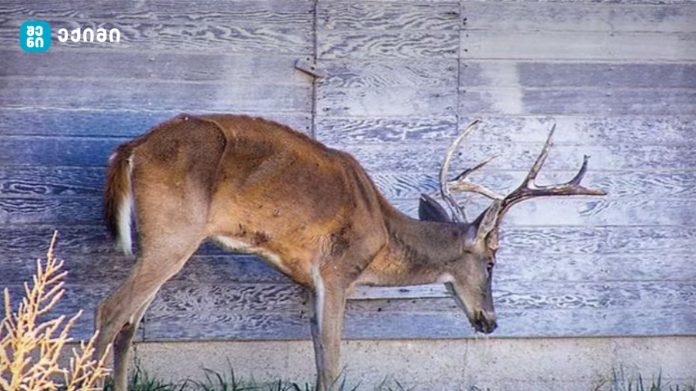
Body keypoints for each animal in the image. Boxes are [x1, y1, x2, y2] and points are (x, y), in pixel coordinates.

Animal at [95, 114, 608, 391]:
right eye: (492, 261)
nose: (490, 322)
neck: (382, 234)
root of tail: (130, 149)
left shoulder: (309, 282)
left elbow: (318, 352)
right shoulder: (338, 271)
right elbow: (333, 358)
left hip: (163, 240)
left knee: (129, 323)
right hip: (174, 232)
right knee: (110, 310)